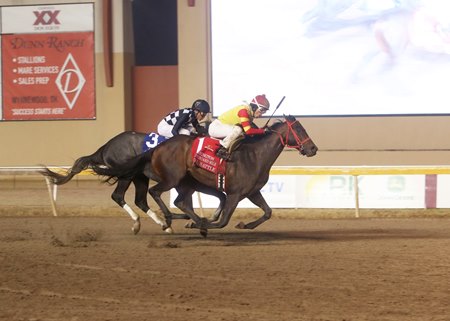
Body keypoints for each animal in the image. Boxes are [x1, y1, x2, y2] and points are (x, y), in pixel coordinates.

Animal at [40, 130, 225, 232]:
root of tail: (106, 147)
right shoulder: (180, 182)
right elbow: (186, 204)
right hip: (127, 175)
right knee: (118, 196)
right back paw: (141, 222)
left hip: (139, 177)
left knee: (140, 200)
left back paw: (159, 224)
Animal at [91, 116, 318, 236]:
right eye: (299, 129)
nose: (313, 148)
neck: (255, 155)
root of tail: (157, 148)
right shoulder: (235, 194)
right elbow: (223, 220)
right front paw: (202, 224)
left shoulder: (251, 192)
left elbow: (268, 212)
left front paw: (244, 224)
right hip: (169, 178)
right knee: (152, 194)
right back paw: (167, 220)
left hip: (174, 181)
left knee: (173, 201)